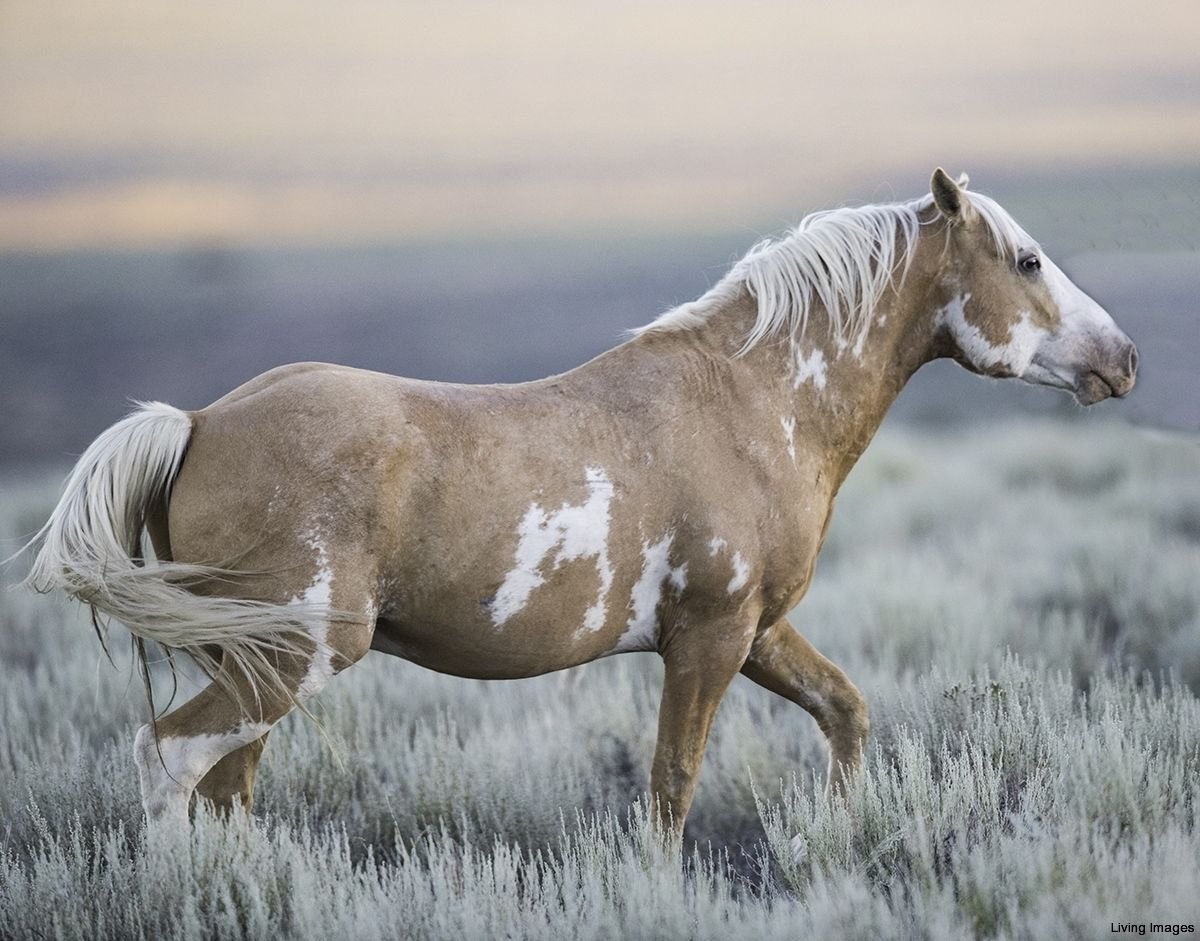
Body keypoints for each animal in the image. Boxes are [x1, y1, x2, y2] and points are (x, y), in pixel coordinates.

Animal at [22, 169, 1137, 832]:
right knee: (172, 757)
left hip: (252, 663)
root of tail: (197, 420)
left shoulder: (757, 629)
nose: (1123, 358)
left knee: (225, 782)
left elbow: (845, 713)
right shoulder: (708, 639)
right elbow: (671, 782)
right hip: (292, 657)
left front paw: (836, 837)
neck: (753, 399)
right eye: (1028, 260)